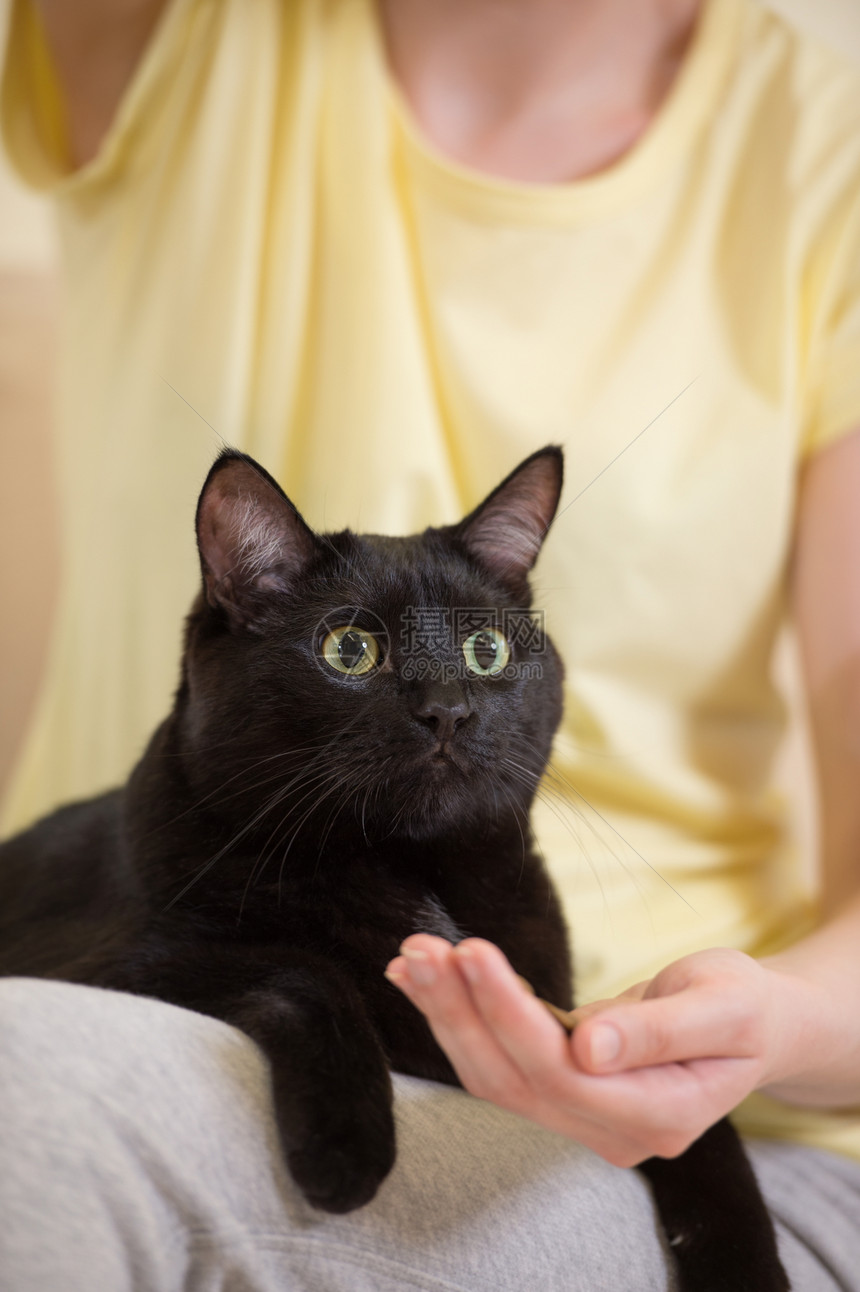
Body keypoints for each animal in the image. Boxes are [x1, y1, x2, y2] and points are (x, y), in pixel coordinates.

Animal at [0, 449, 785, 1286]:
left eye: (487, 650)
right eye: (349, 650)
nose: (448, 710)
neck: (418, 870)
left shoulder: (558, 1009)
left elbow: (710, 1132)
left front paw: (747, 1265)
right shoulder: (109, 959)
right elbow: (303, 969)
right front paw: (346, 1151)